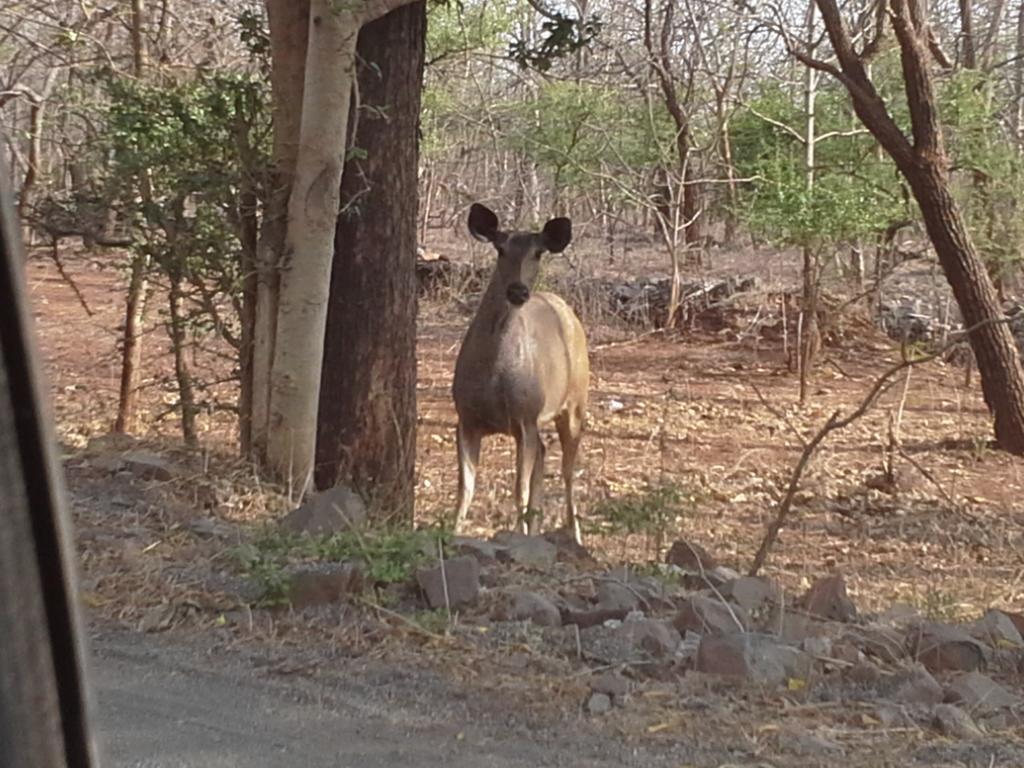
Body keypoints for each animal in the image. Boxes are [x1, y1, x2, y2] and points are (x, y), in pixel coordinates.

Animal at [452, 201, 589, 544]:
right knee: (543, 452)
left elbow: (519, 490)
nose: (518, 291)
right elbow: (466, 490)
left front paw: (516, 535)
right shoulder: (466, 418)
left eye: (538, 253)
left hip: (575, 402)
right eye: (500, 248)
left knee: (567, 470)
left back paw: (575, 534)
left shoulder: (524, 416)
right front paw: (452, 533)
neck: (494, 373)